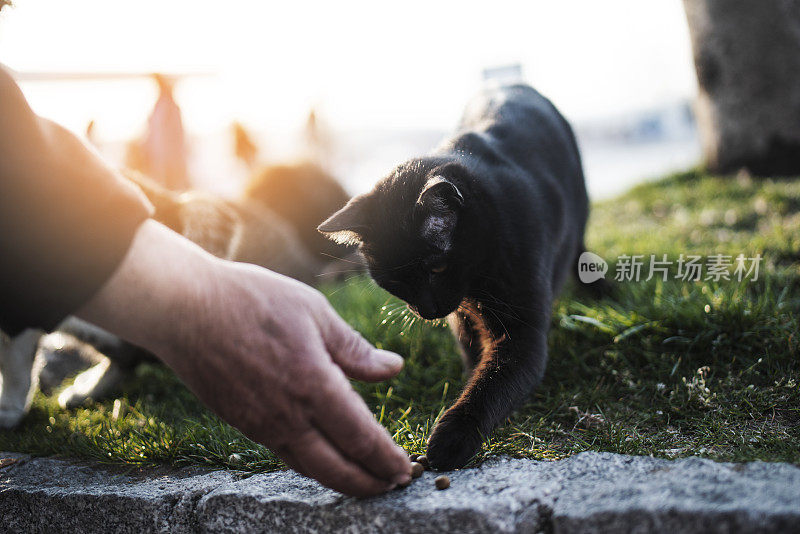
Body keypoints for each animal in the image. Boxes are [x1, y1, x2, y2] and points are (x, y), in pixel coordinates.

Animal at [318, 85, 588, 474]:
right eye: (393, 282)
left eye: (436, 269)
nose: (426, 310)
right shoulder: (463, 320)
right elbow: (477, 365)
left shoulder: (521, 333)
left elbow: (493, 382)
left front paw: (451, 439)